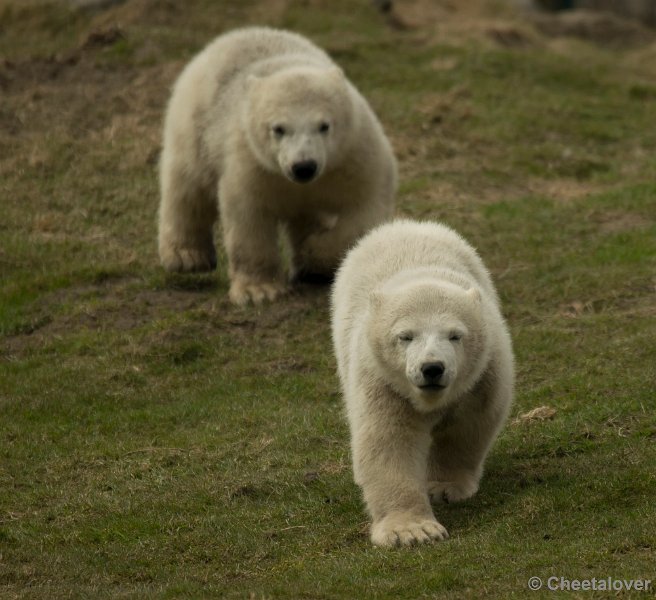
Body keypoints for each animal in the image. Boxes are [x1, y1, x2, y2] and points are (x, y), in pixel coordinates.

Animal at [156, 27, 398, 304]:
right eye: (278, 129)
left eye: (324, 125)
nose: (303, 166)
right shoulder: (252, 162)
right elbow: (249, 216)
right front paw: (259, 291)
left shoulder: (353, 153)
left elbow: (364, 208)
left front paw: (314, 255)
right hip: (195, 127)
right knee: (187, 186)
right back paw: (186, 256)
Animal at [330, 219, 516, 548]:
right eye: (405, 336)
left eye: (455, 335)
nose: (432, 368)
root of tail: (404, 224)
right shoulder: (382, 381)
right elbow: (389, 439)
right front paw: (412, 530)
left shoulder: (484, 373)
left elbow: (469, 424)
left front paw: (444, 487)